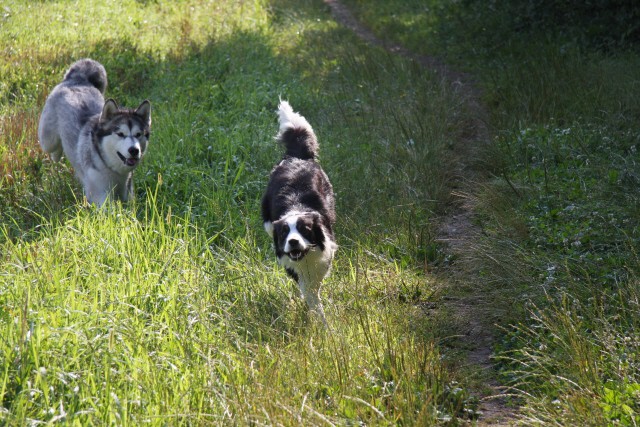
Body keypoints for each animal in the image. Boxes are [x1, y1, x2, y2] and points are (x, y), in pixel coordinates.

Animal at [262, 101, 338, 324]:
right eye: (285, 232)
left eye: (305, 229)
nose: (293, 242)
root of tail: (296, 156)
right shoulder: (289, 261)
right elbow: (308, 291)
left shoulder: (324, 256)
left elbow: (314, 289)